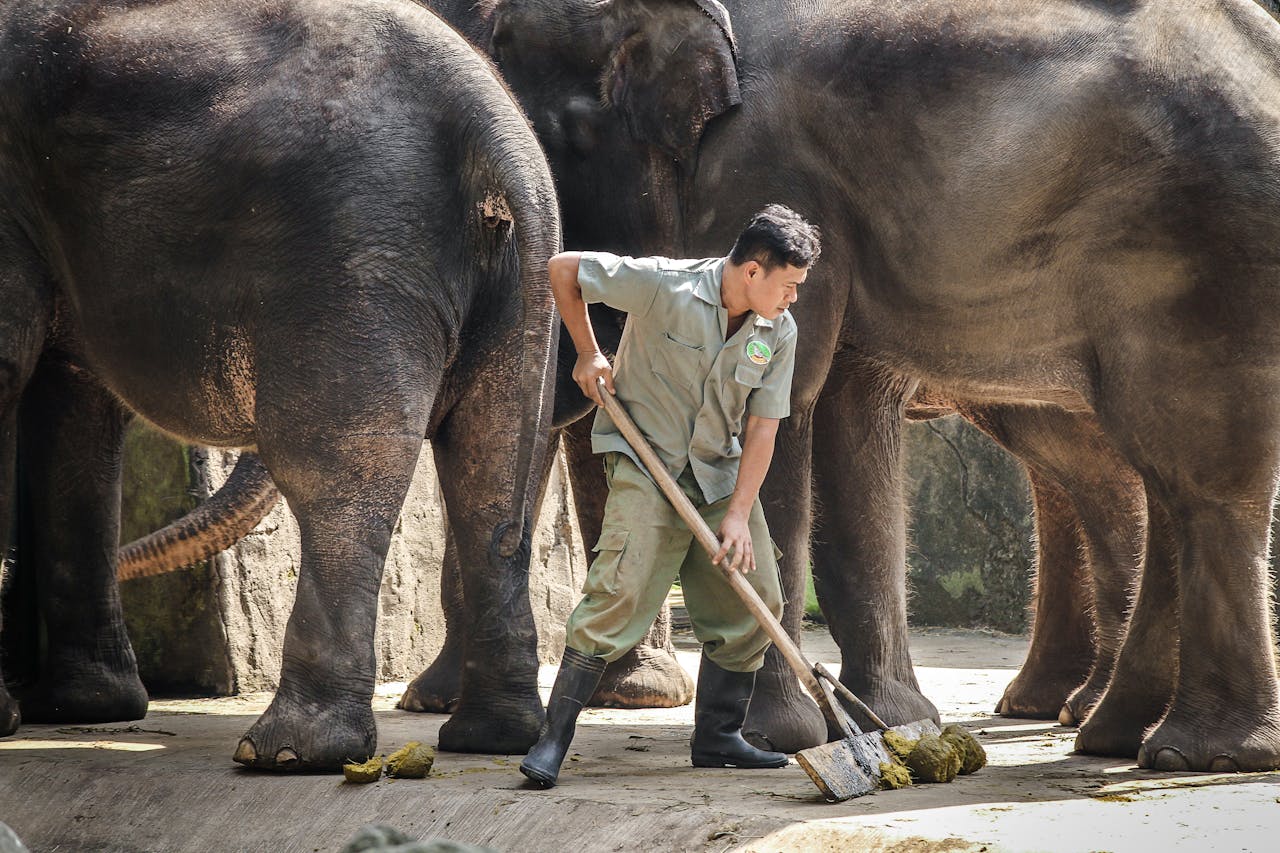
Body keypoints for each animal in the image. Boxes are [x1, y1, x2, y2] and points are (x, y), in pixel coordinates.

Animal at [0, 0, 561, 769]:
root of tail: (497, 129)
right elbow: (72, 404)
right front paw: (76, 708)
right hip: (511, 291)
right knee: (491, 460)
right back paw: (490, 739)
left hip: (347, 262)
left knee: (331, 469)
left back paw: (288, 752)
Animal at [424, 0, 1280, 772]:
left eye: (559, 134)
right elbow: (849, 423)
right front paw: (894, 724)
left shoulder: (762, 165)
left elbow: (784, 414)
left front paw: (784, 735)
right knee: (1151, 472)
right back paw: (1111, 734)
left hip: (1198, 248)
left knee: (1190, 474)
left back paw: (1189, 751)